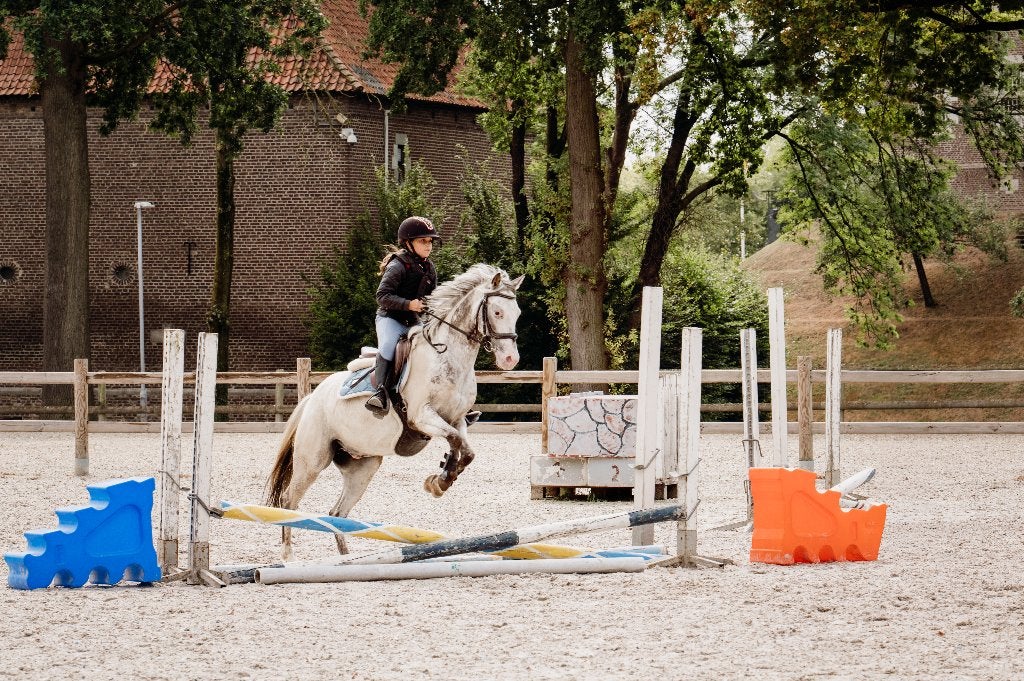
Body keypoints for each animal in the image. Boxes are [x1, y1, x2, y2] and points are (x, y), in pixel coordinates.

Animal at [266, 263, 524, 560]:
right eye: (497, 312)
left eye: (517, 313)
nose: (510, 359)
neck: (448, 357)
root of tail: (311, 398)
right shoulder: (422, 416)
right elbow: (455, 440)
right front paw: (441, 479)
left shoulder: (457, 419)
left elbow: (465, 449)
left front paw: (442, 477)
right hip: (312, 461)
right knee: (289, 501)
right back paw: (288, 556)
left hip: (363, 465)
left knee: (337, 513)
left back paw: (346, 558)